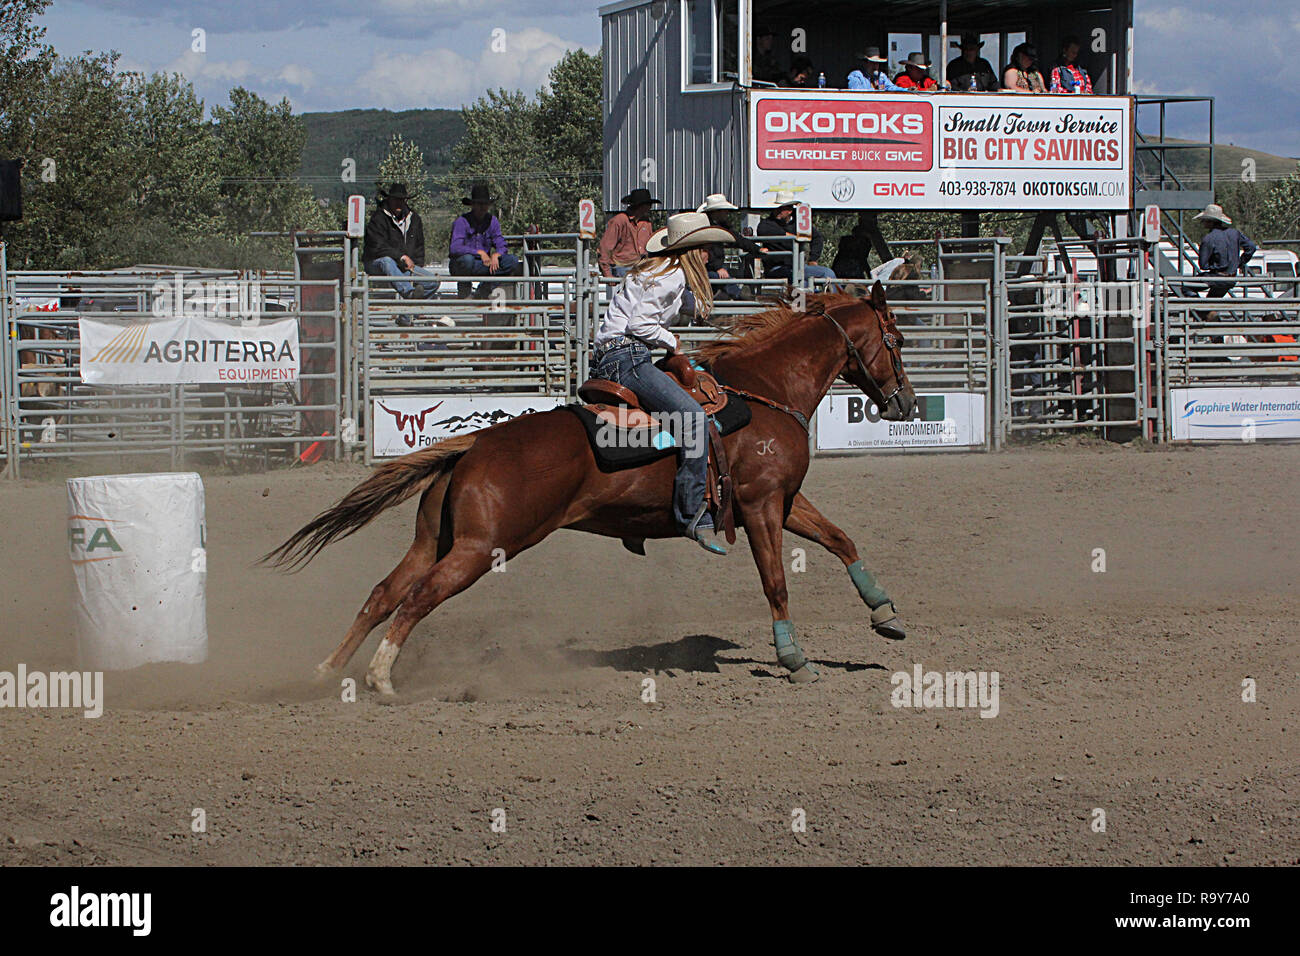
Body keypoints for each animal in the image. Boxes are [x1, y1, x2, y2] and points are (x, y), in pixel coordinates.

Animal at [265, 284, 917, 693]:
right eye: (897, 340)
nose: (906, 404)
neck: (765, 392)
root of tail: (474, 447)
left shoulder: (785, 500)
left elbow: (841, 539)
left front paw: (885, 613)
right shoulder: (760, 507)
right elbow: (776, 583)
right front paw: (795, 659)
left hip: (437, 539)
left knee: (384, 593)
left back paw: (326, 671)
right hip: (482, 547)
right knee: (420, 597)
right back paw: (379, 677)